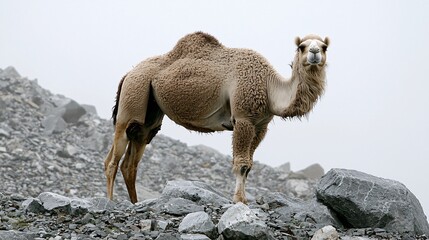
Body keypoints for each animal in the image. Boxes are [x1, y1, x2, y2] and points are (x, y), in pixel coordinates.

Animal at [103, 31, 328, 204]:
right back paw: (110, 201)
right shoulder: (243, 118)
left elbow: (249, 165)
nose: (314, 53)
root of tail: (128, 74)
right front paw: (239, 201)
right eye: (302, 46)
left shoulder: (260, 127)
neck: (268, 86)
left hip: (149, 117)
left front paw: (242, 199)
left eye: (324, 46)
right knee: (112, 160)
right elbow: (242, 164)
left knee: (131, 161)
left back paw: (135, 202)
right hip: (133, 97)